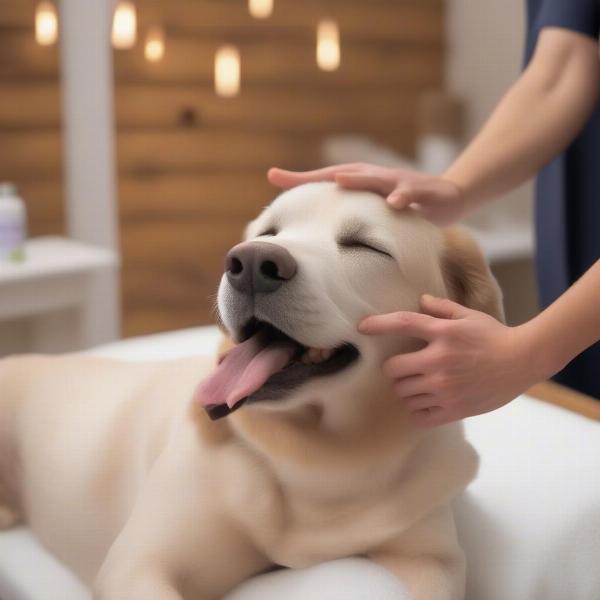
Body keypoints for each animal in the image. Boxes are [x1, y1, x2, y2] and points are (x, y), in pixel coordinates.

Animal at [1, 184, 502, 600]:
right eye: (269, 232)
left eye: (365, 245)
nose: (252, 264)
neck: (322, 460)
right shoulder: (140, 564)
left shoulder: (432, 557)